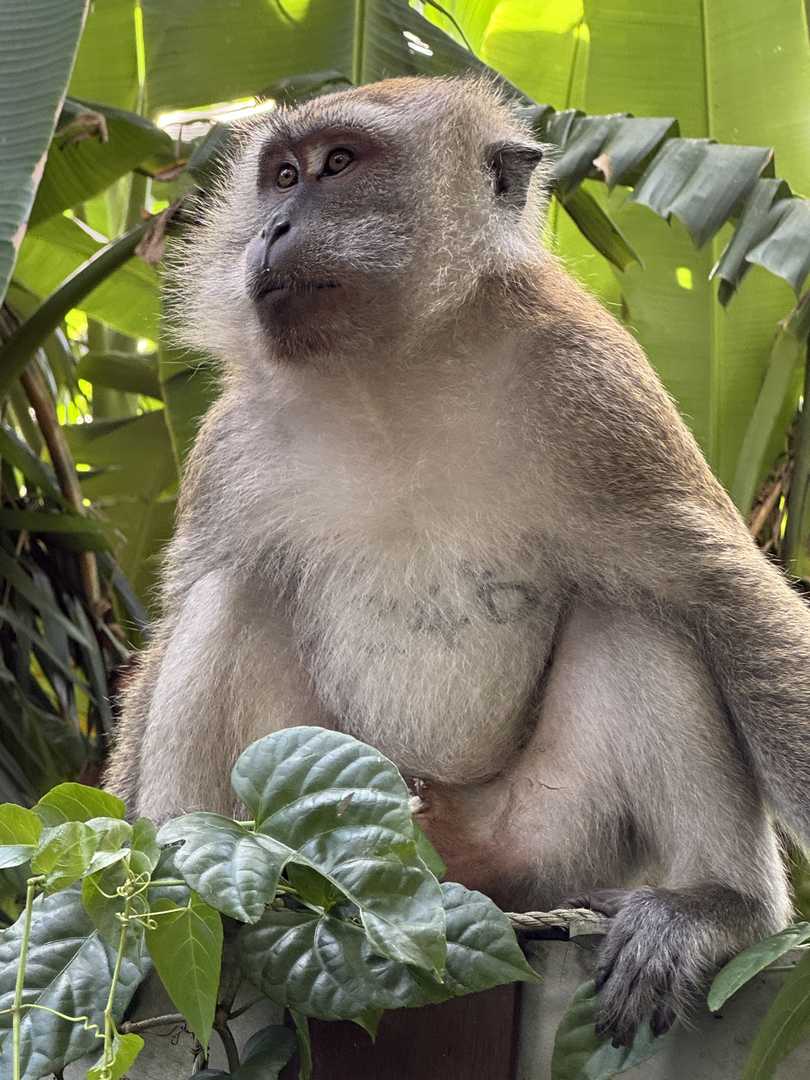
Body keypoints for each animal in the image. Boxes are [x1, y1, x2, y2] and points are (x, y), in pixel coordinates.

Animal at [105, 75, 810, 1047]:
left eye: (338, 165)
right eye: (280, 175)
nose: (272, 226)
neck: (390, 373)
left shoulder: (596, 391)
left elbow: (722, 594)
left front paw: (734, 913)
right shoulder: (232, 441)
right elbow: (180, 614)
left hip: (549, 842)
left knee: (643, 613)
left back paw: (714, 905)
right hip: (325, 814)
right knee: (230, 595)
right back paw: (183, 896)